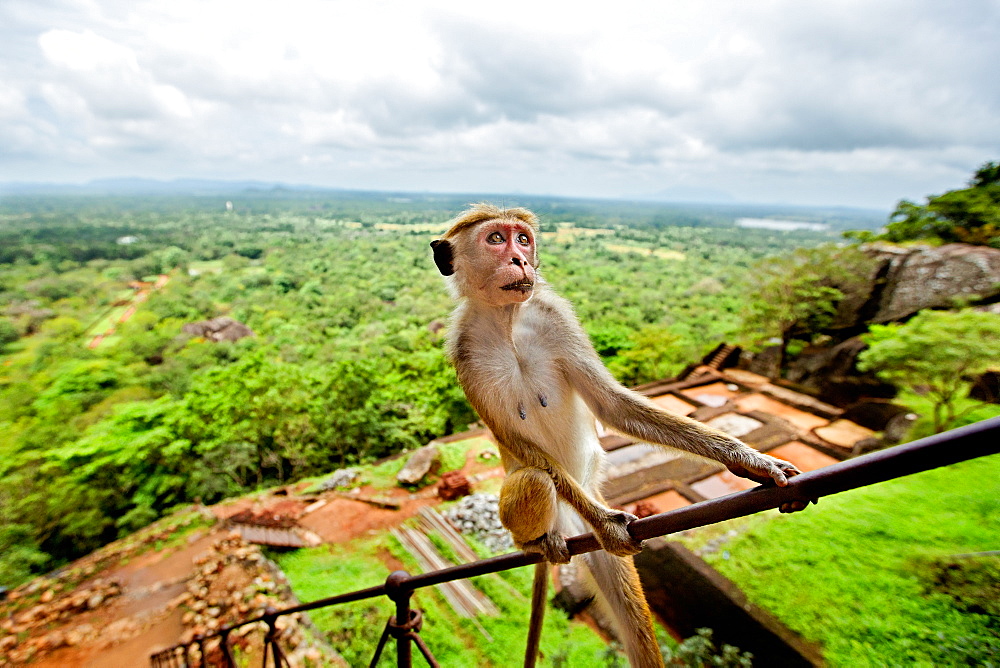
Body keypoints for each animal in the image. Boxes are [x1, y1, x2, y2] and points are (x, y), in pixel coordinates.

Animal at [432, 204, 812, 668]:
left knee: (634, 626)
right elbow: (516, 442)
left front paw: (747, 459)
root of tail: (570, 523)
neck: (507, 319)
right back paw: (537, 539)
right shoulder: (462, 349)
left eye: (522, 239)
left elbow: (611, 405)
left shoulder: (557, 318)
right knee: (535, 479)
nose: (521, 260)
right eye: (495, 239)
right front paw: (609, 524)